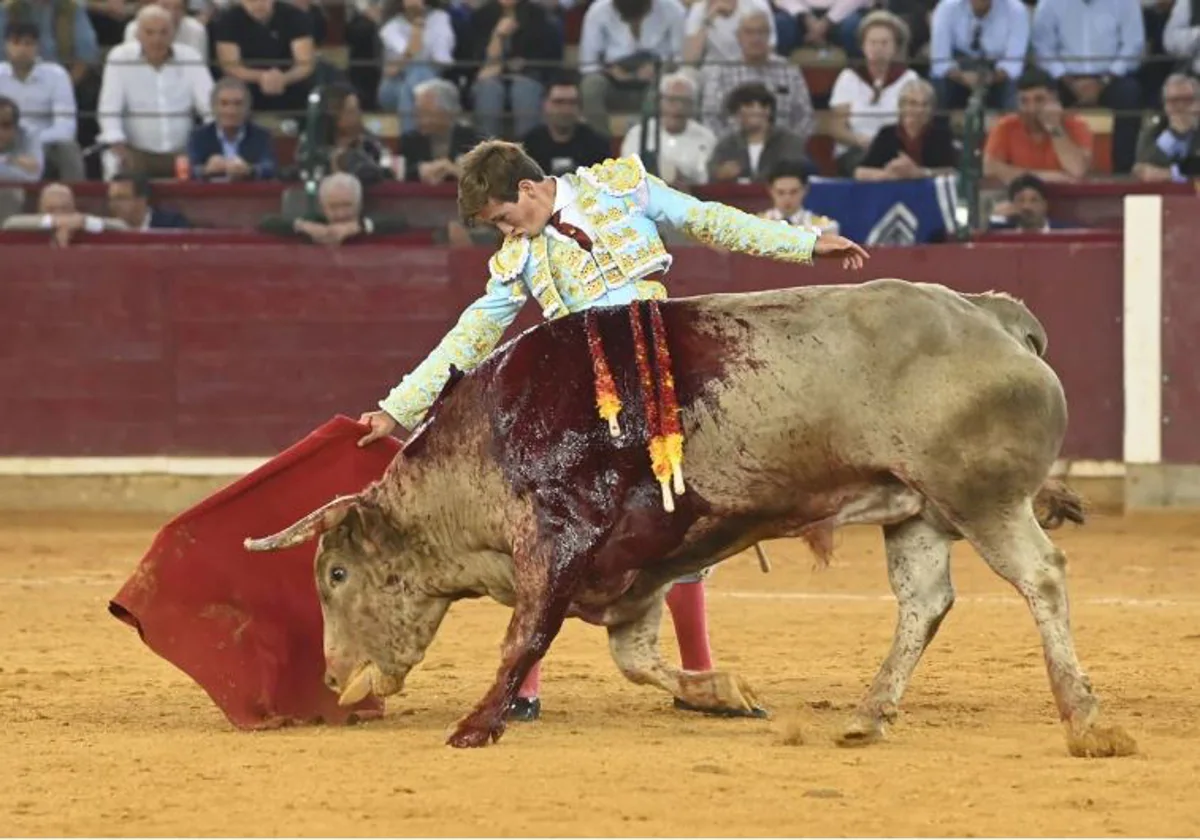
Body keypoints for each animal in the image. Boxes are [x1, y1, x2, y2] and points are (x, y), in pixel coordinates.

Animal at [241, 278, 1132, 758]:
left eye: (337, 572)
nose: (330, 677)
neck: (489, 440)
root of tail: (993, 315)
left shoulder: (557, 546)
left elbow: (525, 636)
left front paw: (476, 725)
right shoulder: (633, 571)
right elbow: (635, 657)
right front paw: (724, 693)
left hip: (984, 500)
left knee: (1041, 578)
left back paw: (1086, 720)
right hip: (914, 510)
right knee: (924, 602)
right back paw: (867, 716)